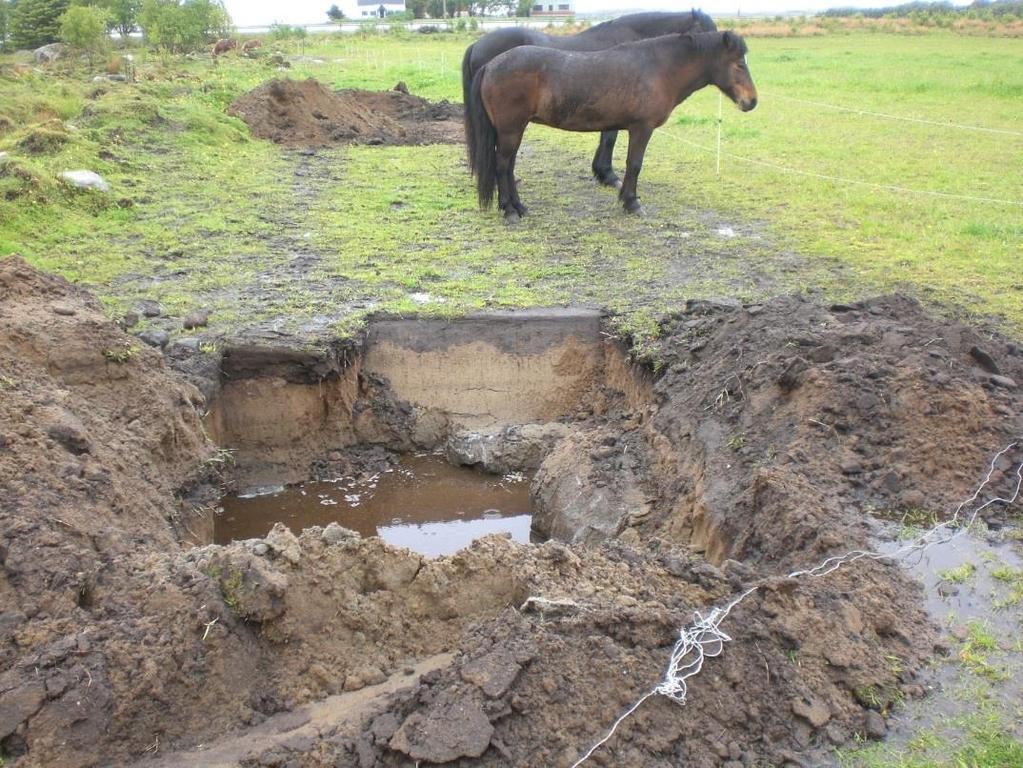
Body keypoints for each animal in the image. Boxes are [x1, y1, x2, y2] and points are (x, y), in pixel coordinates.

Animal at [468, 31, 757, 218]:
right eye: (739, 65)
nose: (752, 101)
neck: (658, 68)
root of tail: (490, 65)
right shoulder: (642, 129)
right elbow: (634, 164)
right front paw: (632, 203)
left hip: (513, 130)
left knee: (508, 166)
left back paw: (519, 207)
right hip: (511, 130)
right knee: (502, 165)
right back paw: (509, 210)